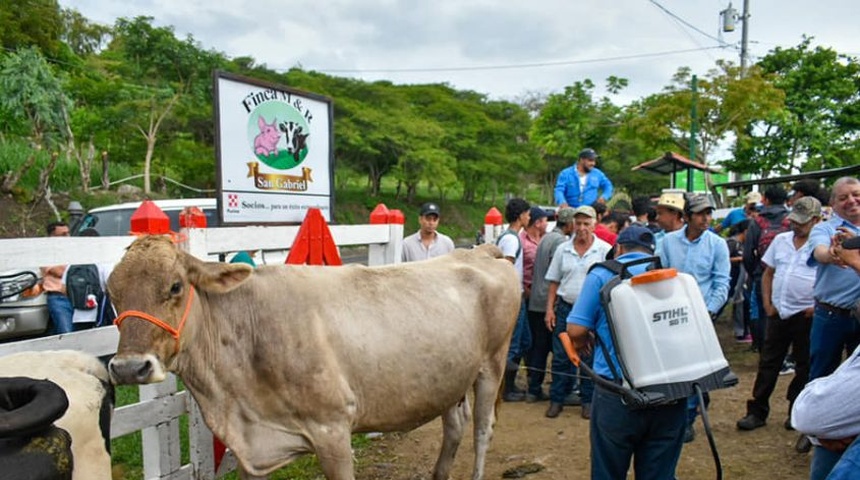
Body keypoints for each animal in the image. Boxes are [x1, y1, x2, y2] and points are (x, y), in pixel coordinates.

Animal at [111, 237, 520, 480]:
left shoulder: (333, 428)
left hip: (492, 364)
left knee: (482, 429)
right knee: (455, 426)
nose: (129, 367)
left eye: (175, 286)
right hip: (449, 377)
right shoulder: (249, 451)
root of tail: (479, 250)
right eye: (112, 294)